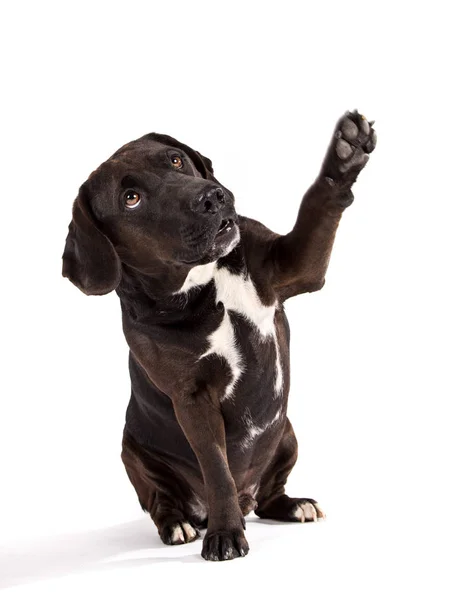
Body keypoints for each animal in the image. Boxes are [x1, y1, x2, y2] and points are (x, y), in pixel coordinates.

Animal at [62, 110, 374, 560]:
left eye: (175, 161)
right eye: (131, 199)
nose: (211, 197)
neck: (202, 285)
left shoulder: (294, 263)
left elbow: (317, 206)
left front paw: (345, 154)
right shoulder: (193, 399)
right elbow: (217, 470)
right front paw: (225, 533)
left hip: (287, 435)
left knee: (268, 496)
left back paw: (292, 505)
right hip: (134, 453)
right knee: (165, 500)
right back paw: (178, 524)